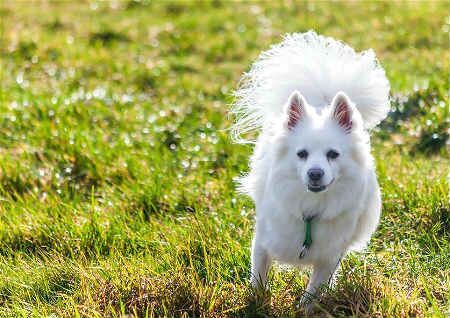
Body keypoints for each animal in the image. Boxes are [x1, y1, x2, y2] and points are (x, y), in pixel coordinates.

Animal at [232, 31, 390, 304]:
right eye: (302, 154)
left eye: (333, 155)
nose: (315, 173)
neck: (311, 207)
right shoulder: (262, 242)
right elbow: (258, 276)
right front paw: (256, 301)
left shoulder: (329, 257)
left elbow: (314, 289)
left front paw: (305, 307)